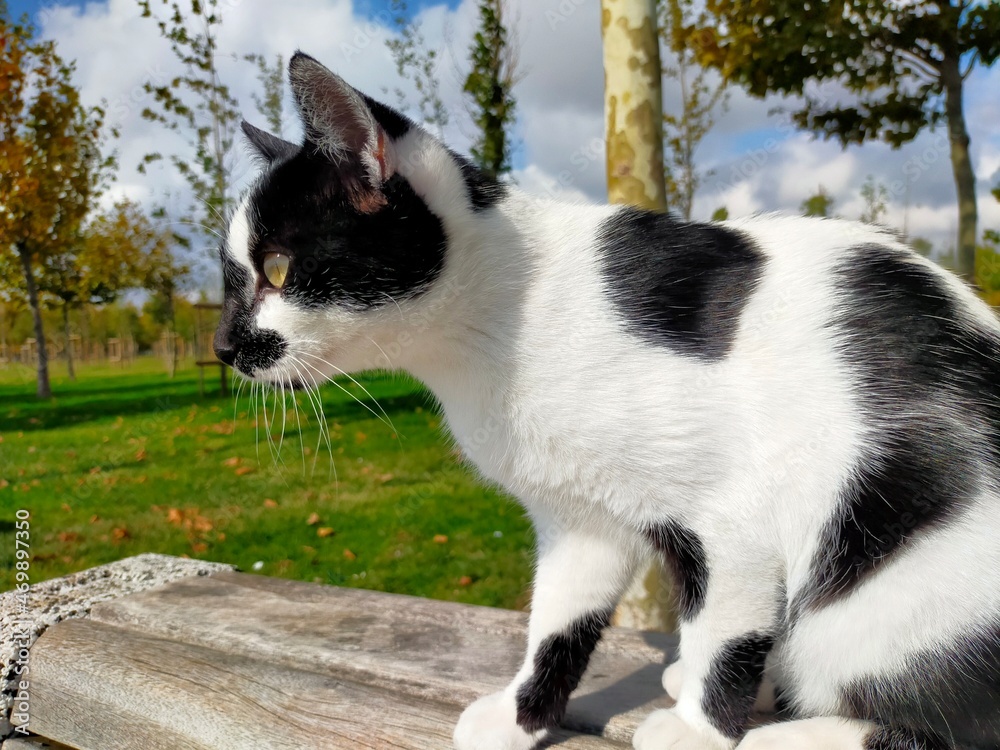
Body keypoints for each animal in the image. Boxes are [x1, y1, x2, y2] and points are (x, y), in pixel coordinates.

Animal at [215, 53, 1000, 750]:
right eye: (228, 280)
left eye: (277, 269)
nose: (223, 346)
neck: (491, 329)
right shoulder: (580, 520)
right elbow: (558, 625)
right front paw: (524, 715)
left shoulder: (734, 514)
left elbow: (726, 631)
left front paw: (698, 732)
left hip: (883, 592)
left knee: (949, 724)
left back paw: (786, 734)